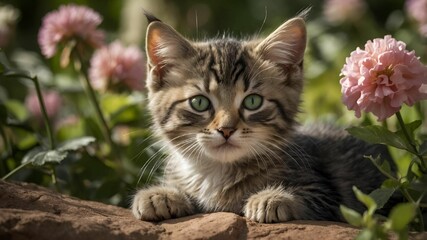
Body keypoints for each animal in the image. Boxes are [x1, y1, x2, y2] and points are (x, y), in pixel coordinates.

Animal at [131, 13, 392, 223]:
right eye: (199, 102)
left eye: (253, 102)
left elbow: (314, 199)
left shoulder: (329, 194)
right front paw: (159, 195)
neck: (216, 174)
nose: (226, 129)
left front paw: (273, 198)